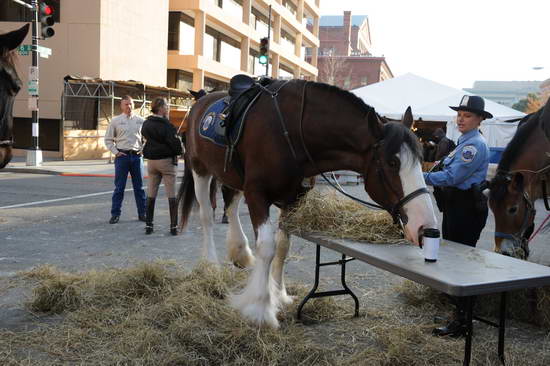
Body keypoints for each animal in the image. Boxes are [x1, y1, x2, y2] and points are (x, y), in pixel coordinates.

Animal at [179, 78, 438, 328]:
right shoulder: (256, 194)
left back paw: (240, 251)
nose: (424, 225)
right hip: (200, 169)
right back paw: (211, 265)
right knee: (207, 216)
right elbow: (268, 247)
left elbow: (283, 247)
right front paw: (260, 308)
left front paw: (279, 294)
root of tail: (203, 99)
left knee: (231, 206)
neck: (290, 131)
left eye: (421, 158)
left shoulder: (293, 200)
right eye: (392, 163)